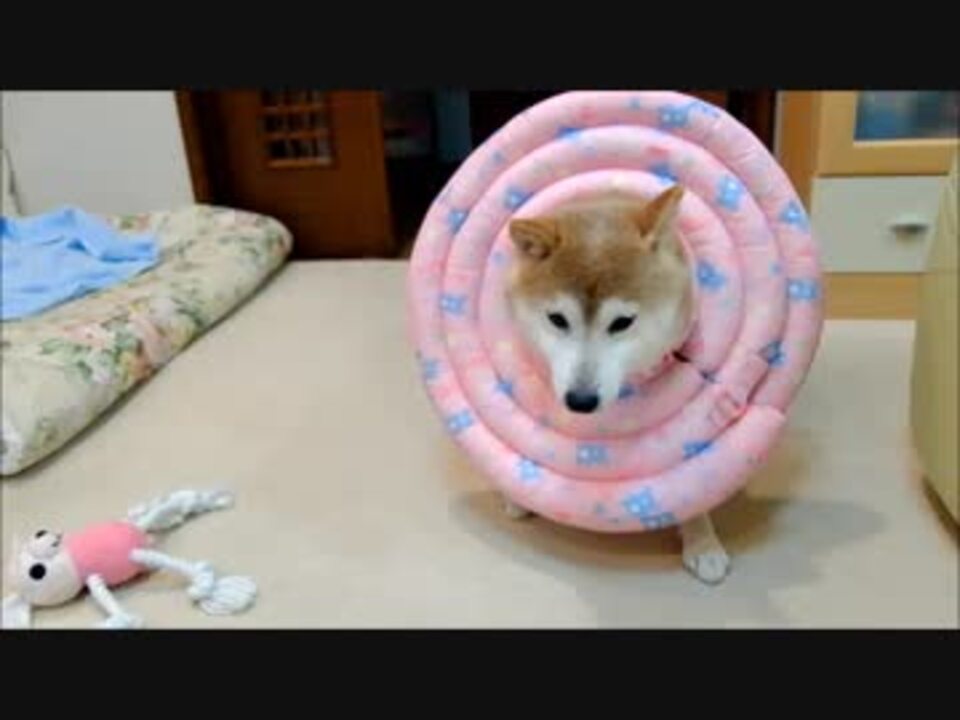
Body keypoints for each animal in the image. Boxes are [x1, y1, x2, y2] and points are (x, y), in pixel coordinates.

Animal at [504, 185, 730, 585]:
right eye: (557, 319)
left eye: (622, 322)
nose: (580, 401)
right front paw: (518, 494)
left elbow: (692, 483)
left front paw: (703, 542)